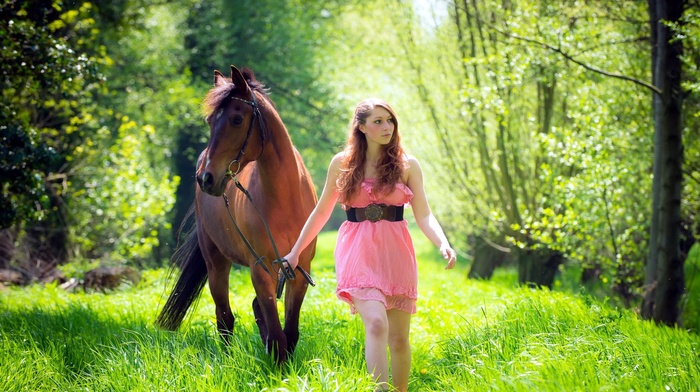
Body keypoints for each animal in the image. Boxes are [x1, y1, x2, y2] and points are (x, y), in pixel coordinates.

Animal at [157, 64, 318, 362]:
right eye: (209, 121)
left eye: (236, 120)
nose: (205, 178)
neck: (284, 198)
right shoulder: (260, 268)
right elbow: (277, 334)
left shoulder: (299, 269)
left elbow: (289, 332)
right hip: (216, 263)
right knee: (224, 318)